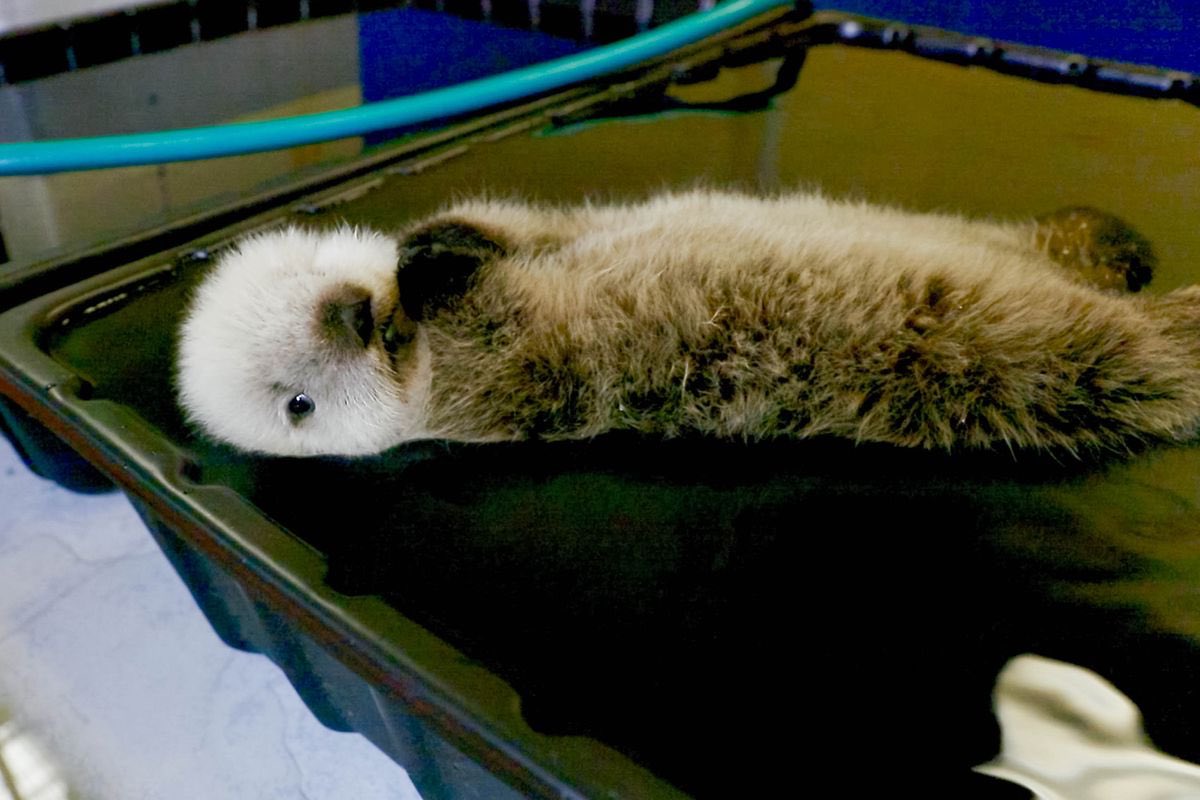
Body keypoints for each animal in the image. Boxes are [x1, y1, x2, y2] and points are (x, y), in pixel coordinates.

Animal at [176, 189, 1198, 458]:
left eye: (308, 285)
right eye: (298, 405)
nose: (357, 317)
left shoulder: (549, 225)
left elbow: (508, 221)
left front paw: (430, 247)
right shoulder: (498, 382)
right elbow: (512, 325)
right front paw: (432, 276)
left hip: (1009, 245)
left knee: (1058, 241)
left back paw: (1114, 236)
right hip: (1046, 350)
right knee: (1145, 350)